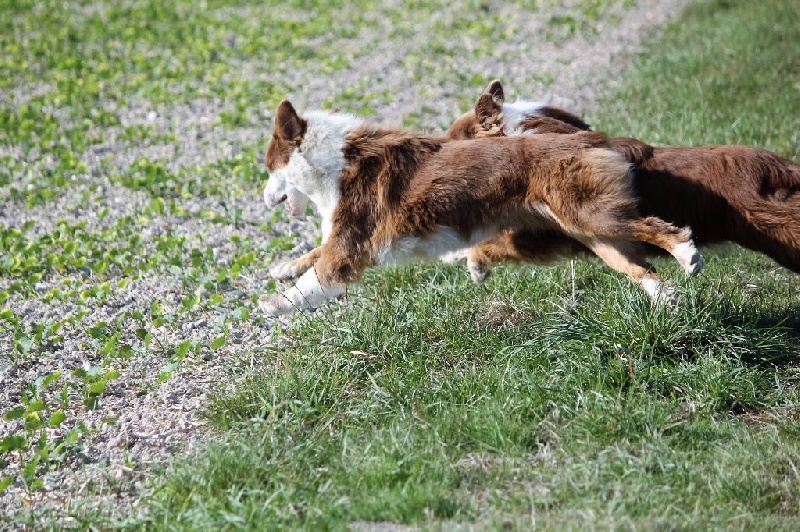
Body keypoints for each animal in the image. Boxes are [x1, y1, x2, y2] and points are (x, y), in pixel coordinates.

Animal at [260, 100, 700, 314]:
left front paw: (274, 305)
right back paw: (666, 299)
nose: (262, 198)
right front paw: (282, 268)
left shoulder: (348, 249)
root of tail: (589, 138)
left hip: (592, 215)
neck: (336, 161)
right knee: (639, 267)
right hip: (589, 231)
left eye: (268, 166)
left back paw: (688, 257)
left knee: (661, 229)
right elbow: (311, 254)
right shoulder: (345, 239)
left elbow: (313, 280)